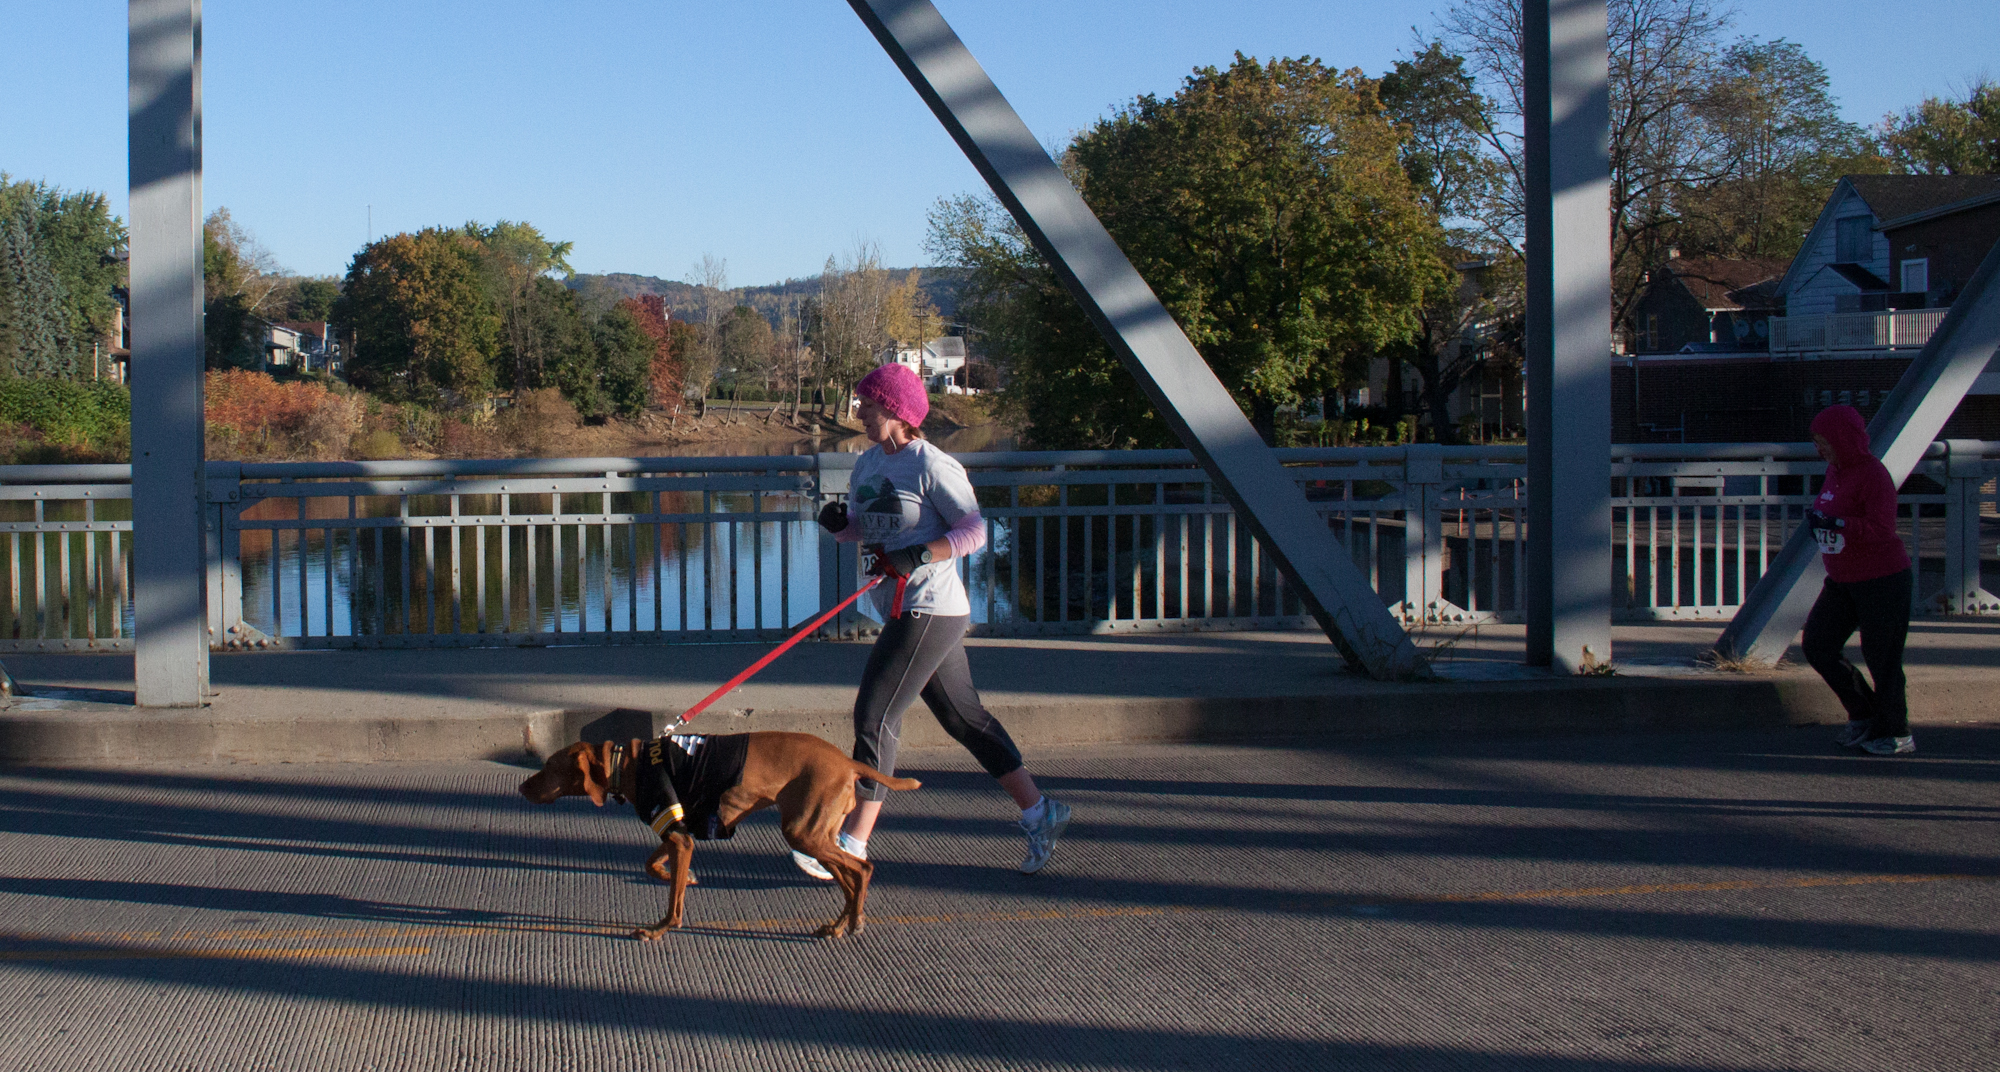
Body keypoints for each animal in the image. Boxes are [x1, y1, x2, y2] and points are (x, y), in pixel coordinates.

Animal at [516, 728, 920, 936]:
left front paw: (660, 928)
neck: (627, 764)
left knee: (862, 870)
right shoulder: (677, 833)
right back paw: (841, 925)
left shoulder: (679, 837)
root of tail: (847, 762)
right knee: (850, 878)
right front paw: (680, 877)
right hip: (815, 833)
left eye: (549, 766)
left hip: (804, 831)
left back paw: (853, 921)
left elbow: (674, 902)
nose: (521, 787)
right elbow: (654, 866)